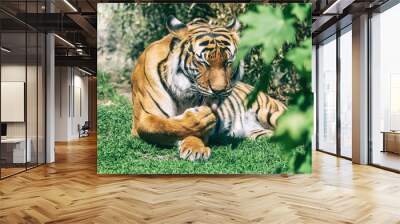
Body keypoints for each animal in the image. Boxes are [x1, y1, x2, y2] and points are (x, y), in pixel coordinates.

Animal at [130, 16, 286, 162]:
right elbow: (163, 126)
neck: (183, 91)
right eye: (204, 63)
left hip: (272, 114)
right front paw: (200, 119)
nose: (219, 90)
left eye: (228, 62)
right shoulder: (143, 118)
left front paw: (194, 149)